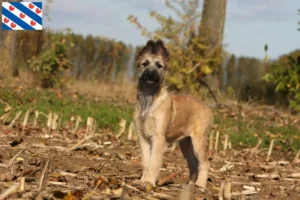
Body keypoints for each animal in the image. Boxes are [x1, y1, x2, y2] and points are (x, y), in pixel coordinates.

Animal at [134, 39, 213, 191]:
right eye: (144, 63)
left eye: (159, 66)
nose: (150, 74)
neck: (149, 99)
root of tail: (207, 108)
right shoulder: (143, 137)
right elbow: (146, 162)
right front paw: (142, 181)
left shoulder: (158, 137)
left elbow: (153, 162)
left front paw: (149, 182)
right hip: (186, 144)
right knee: (193, 164)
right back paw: (189, 185)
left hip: (198, 142)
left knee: (204, 163)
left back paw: (200, 185)